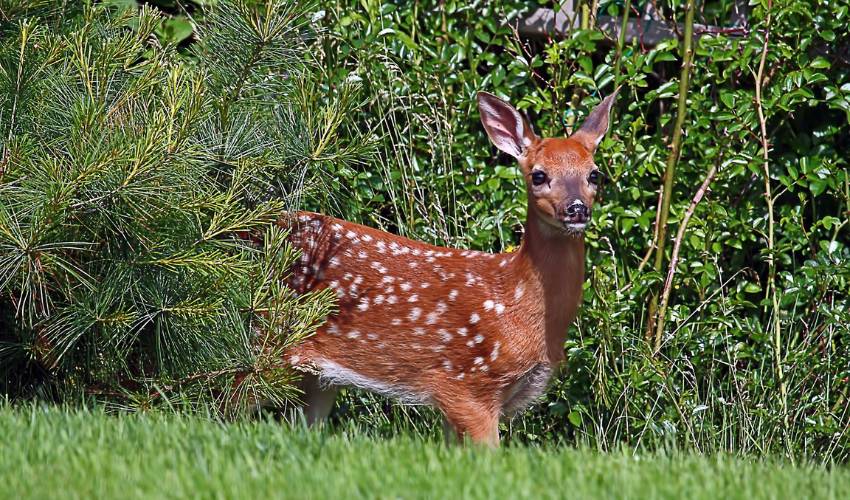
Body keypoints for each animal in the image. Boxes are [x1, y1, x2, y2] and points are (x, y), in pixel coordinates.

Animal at [280, 90, 616, 446]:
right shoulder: (466, 383)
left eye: (594, 174)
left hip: (318, 380)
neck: (516, 303)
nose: (576, 209)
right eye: (538, 175)